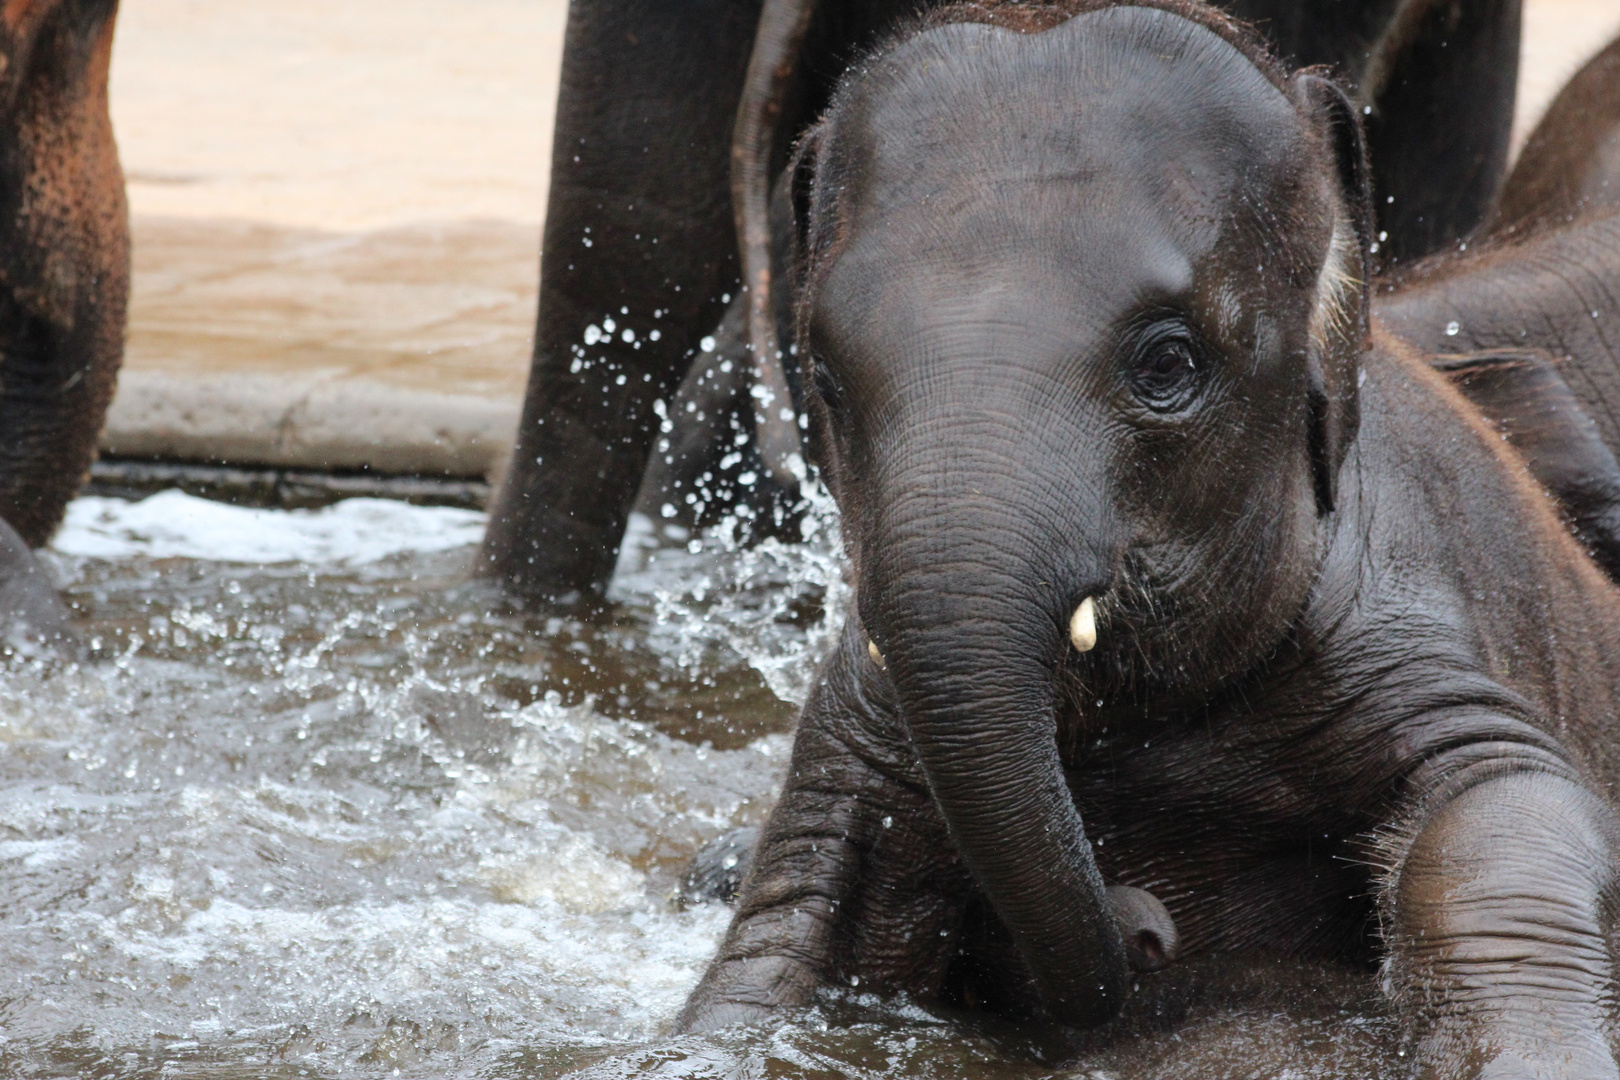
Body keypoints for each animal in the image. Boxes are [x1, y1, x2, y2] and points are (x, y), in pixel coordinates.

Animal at [680, 4, 1620, 1075]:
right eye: (827, 381)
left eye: (1167, 363)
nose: (1146, 927)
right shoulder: (854, 728)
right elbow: (795, 908)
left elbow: (1502, 810)